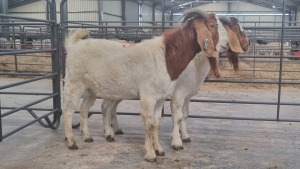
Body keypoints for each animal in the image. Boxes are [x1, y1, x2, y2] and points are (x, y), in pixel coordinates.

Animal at [63, 8, 223, 162]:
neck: (166, 57)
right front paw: (150, 154)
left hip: (90, 90)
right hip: (74, 83)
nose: (223, 47)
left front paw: (159, 150)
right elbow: (149, 123)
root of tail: (74, 46)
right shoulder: (148, 96)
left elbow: (157, 122)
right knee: (68, 110)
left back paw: (87, 136)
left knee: (84, 110)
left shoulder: (160, 97)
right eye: (213, 25)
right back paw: (71, 142)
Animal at [101, 16, 248, 149]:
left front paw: (184, 136)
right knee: (105, 106)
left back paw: (115, 129)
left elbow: (185, 114)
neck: (195, 63)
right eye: (235, 29)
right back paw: (108, 133)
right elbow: (177, 116)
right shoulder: (179, 92)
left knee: (112, 107)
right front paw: (176, 141)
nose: (248, 44)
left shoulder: (187, 95)